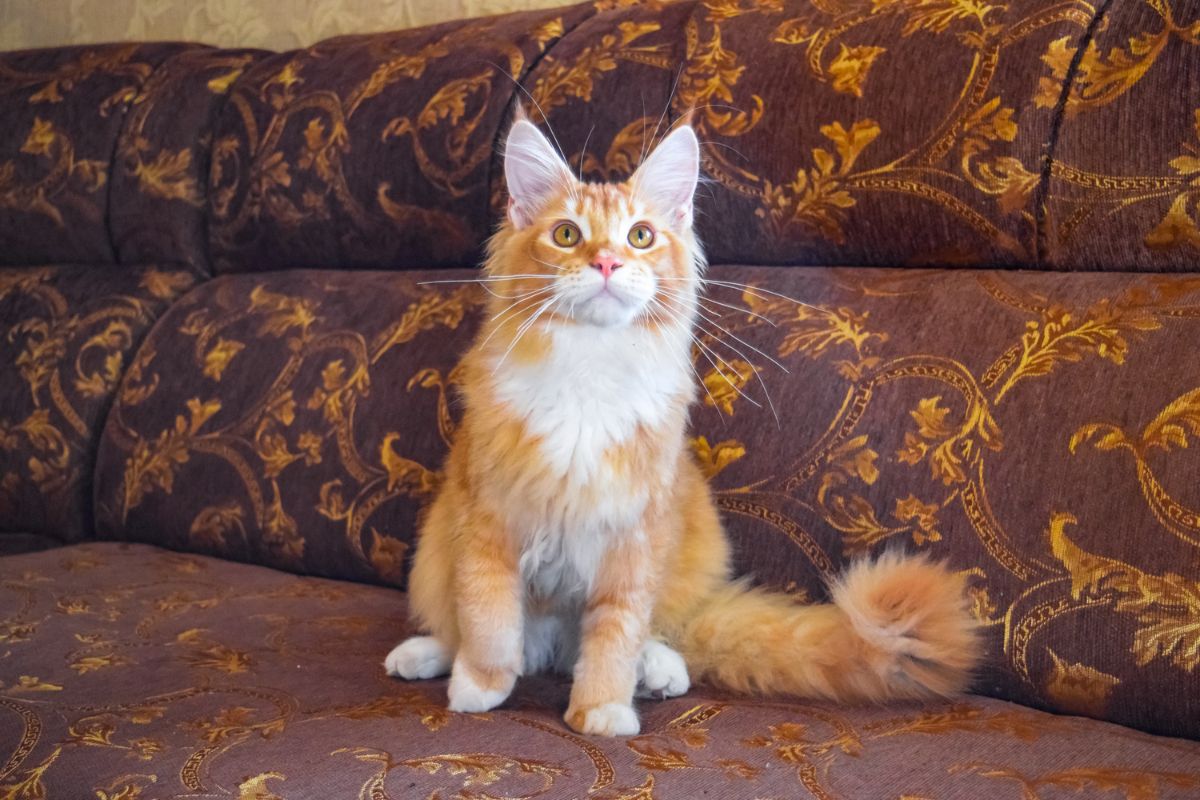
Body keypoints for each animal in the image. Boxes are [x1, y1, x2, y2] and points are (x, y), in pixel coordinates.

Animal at [386, 112, 984, 738]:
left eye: (640, 237)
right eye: (567, 235)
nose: (606, 262)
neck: (589, 369)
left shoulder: (634, 537)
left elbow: (616, 633)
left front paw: (601, 708)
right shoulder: (486, 522)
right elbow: (489, 619)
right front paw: (480, 685)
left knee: (653, 632)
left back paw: (657, 670)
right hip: (433, 552)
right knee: (463, 627)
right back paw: (427, 654)